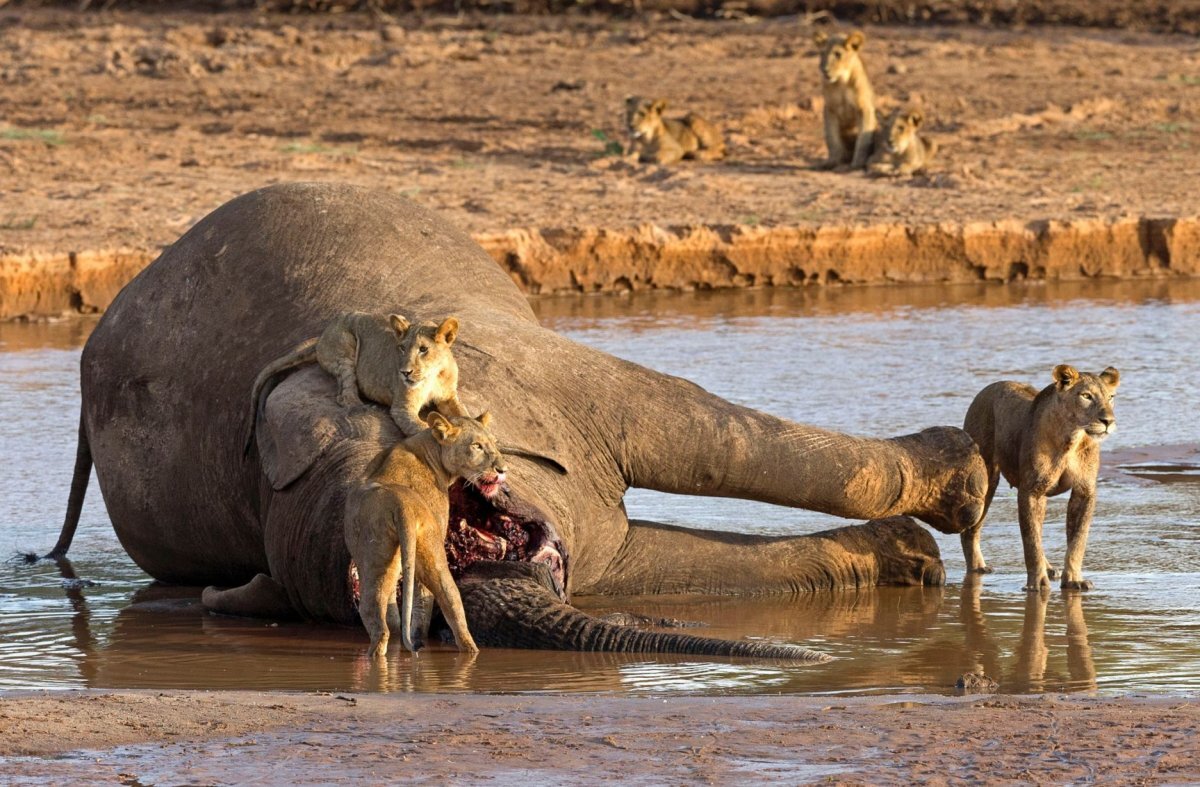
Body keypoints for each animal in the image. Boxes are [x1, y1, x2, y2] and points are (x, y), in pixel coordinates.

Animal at [243, 309, 468, 451]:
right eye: (402, 348)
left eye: (423, 349)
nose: (404, 372)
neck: (433, 375)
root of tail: (321, 338)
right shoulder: (402, 408)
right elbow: (421, 427)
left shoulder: (448, 397)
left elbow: (462, 413)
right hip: (345, 346)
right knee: (344, 395)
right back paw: (364, 407)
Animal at [343, 412, 506, 657]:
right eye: (476, 445)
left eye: (494, 443)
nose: (503, 470)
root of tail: (402, 504)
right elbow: (420, 599)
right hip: (427, 546)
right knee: (450, 599)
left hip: (380, 555)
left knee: (378, 610)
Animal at [811, 28, 878, 169]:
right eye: (822, 53)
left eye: (837, 54)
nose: (824, 70)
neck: (842, 81)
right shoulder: (829, 109)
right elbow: (832, 139)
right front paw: (832, 162)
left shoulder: (864, 108)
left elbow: (863, 138)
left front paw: (858, 163)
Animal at [960, 362, 1118, 590]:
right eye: (1086, 396)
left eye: (1111, 397)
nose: (1108, 421)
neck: (1071, 439)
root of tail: (989, 388)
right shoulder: (1030, 491)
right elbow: (1031, 540)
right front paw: (1037, 583)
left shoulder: (1084, 490)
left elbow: (1078, 539)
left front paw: (1073, 579)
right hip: (986, 479)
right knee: (970, 530)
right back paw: (978, 567)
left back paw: (1050, 568)